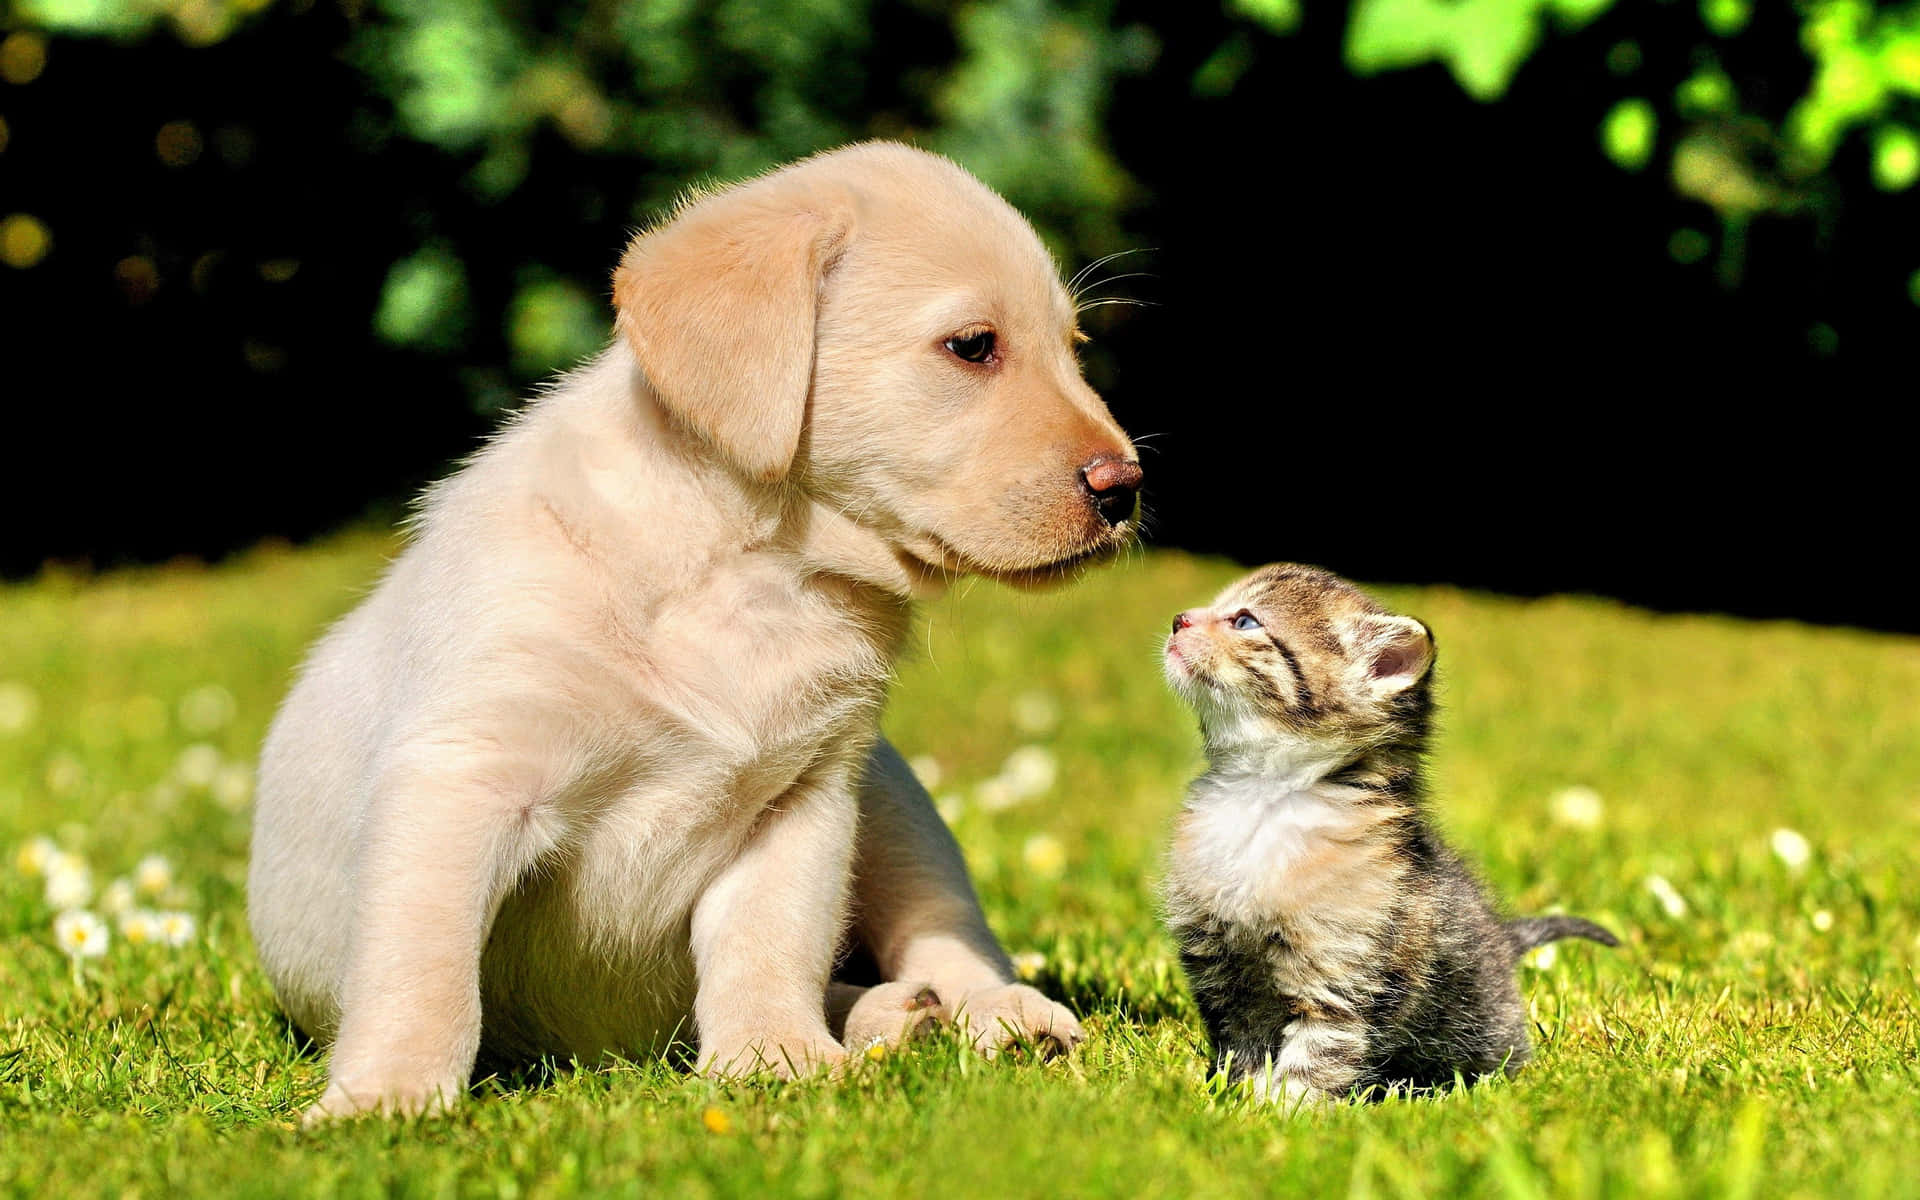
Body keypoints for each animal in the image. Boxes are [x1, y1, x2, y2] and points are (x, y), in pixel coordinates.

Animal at [245, 143, 1128, 1121]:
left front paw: (776, 1059)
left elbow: (769, 945)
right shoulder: (460, 780)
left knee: (945, 932)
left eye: (1076, 350)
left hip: (896, 806)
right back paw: (896, 1018)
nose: (1125, 487)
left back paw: (984, 1014)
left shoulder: (802, 801)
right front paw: (387, 1099)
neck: (753, 570)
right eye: (973, 346)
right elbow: (423, 971)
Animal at [1159, 564, 1612, 1105]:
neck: (1261, 798)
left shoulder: (1341, 979)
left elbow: (1317, 1056)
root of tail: (1503, 939)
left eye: (1245, 621)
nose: (1179, 618)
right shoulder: (1223, 972)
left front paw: (1284, 1111)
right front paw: (1236, 1099)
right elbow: (1241, 1046)